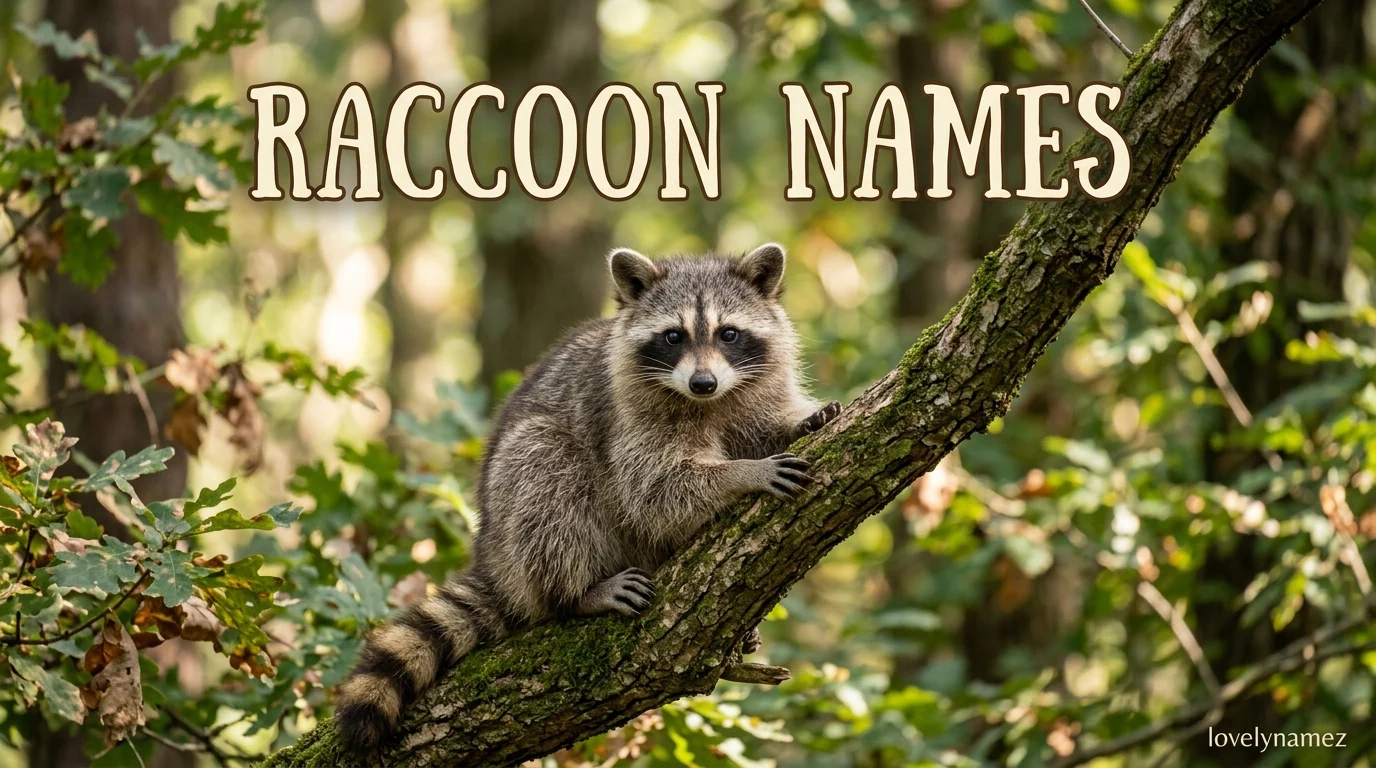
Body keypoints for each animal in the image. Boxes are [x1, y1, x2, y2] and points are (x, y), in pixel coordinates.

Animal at [334, 244, 842, 750]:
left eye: (729, 333)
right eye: (673, 336)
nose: (702, 383)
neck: (711, 402)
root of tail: (492, 557)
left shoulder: (752, 391)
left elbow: (762, 426)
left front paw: (803, 422)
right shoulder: (631, 419)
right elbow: (656, 491)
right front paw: (743, 473)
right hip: (518, 504)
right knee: (545, 465)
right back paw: (576, 592)